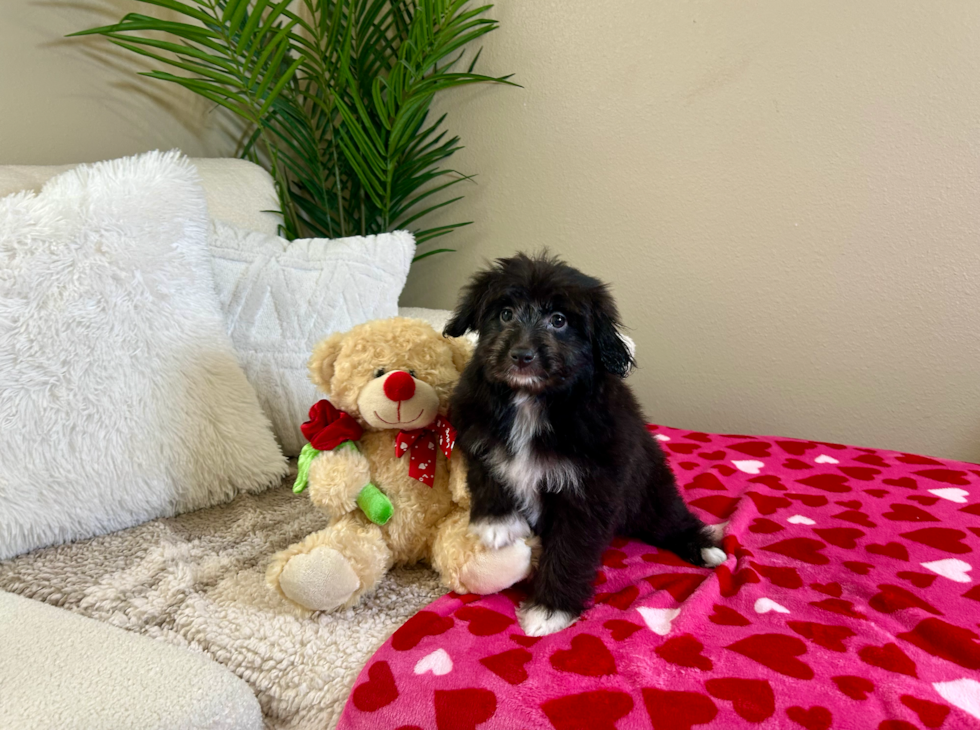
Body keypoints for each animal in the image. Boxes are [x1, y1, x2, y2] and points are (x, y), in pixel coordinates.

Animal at [446, 253, 728, 636]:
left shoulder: (590, 489)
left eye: (559, 320)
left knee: (671, 519)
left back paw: (704, 548)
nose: (521, 355)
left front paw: (550, 610)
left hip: (652, 490)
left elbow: (571, 549)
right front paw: (497, 524)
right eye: (505, 313)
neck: (532, 401)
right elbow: (488, 469)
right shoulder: (475, 430)